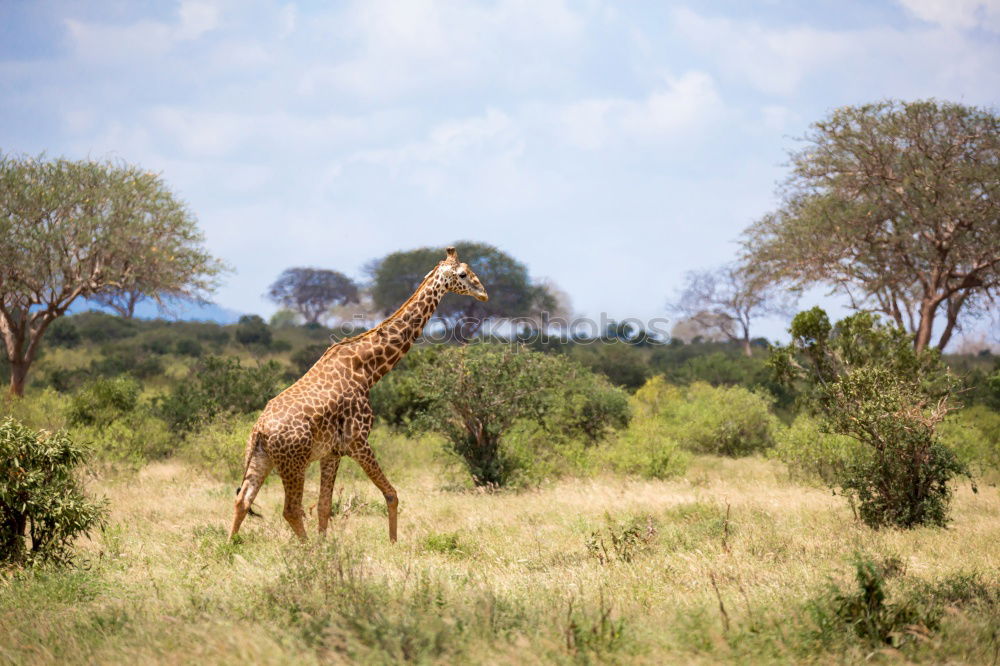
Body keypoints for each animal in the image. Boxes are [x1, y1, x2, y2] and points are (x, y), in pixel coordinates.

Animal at [230, 246, 488, 544]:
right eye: (463, 274)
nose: (483, 292)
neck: (367, 369)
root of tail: (259, 430)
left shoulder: (332, 452)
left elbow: (324, 506)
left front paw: (326, 545)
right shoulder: (358, 441)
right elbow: (391, 494)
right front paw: (392, 544)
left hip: (262, 459)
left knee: (243, 500)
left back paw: (230, 545)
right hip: (293, 463)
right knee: (290, 509)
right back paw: (305, 550)